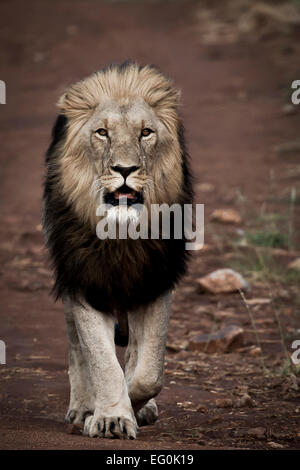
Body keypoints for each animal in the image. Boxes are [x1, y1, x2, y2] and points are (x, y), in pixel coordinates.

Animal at [42, 60, 192, 438]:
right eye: (102, 133)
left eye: (146, 133)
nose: (125, 169)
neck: (121, 237)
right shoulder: (84, 282)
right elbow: (101, 361)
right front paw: (110, 417)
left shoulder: (155, 281)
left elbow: (149, 372)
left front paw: (135, 406)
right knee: (76, 347)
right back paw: (83, 407)